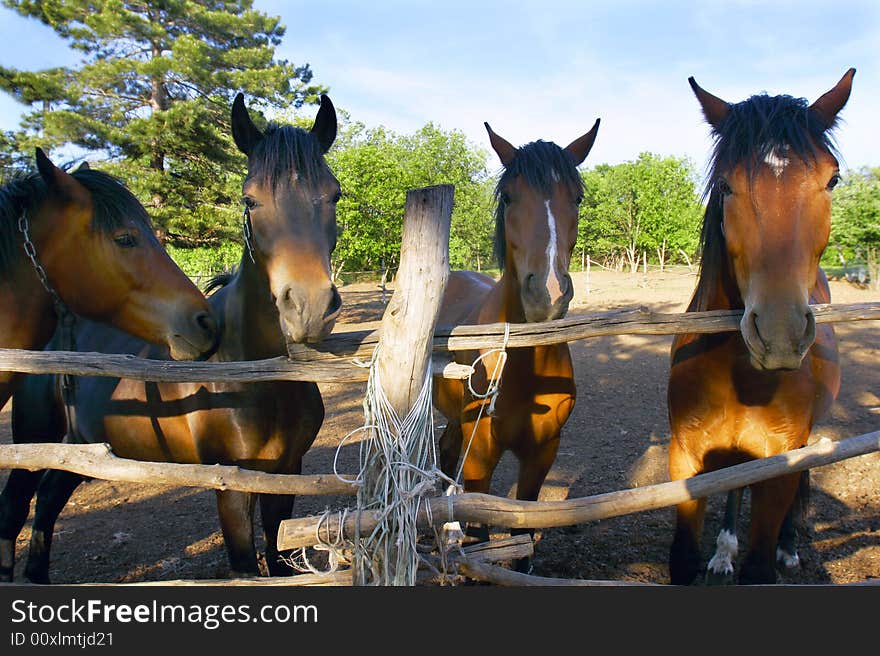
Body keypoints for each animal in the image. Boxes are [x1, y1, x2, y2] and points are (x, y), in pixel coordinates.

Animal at [432, 115, 600, 568]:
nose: (548, 293)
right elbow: (480, 530)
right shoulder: (481, 454)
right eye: (508, 197)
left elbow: (523, 527)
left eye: (577, 197)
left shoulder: (542, 453)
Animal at [668, 69, 852, 588]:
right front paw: (719, 554)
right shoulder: (684, 459)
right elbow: (683, 559)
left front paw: (775, 551)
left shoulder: (779, 465)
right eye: (725, 185)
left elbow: (760, 563)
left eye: (832, 178)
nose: (780, 335)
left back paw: (789, 547)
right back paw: (724, 550)